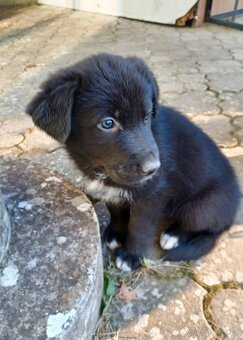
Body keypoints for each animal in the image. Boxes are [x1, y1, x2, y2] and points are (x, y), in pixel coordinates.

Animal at [25, 53, 240, 270]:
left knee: (206, 228)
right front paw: (116, 234)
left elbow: (140, 228)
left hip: (201, 207)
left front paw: (131, 256)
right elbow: (116, 211)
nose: (153, 169)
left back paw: (173, 235)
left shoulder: (151, 196)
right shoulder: (112, 191)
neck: (101, 169)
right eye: (107, 123)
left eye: (147, 117)